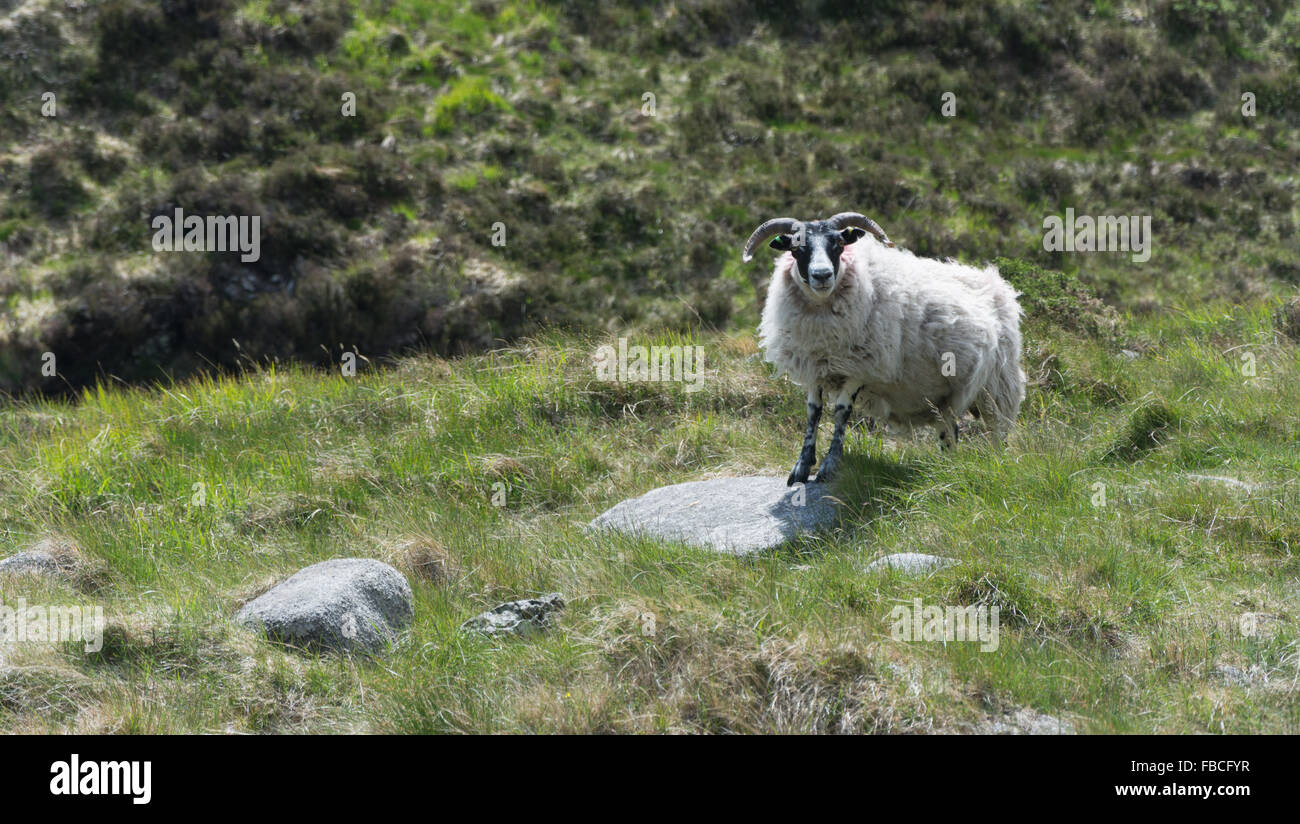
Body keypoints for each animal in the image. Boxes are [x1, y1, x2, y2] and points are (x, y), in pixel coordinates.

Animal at [743, 207, 1024, 483]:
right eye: (796, 248)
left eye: (839, 244)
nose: (822, 275)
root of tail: (997, 283)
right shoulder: (814, 366)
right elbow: (813, 412)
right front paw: (801, 466)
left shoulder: (862, 366)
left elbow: (841, 412)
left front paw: (830, 465)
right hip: (943, 398)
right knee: (949, 431)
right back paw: (947, 469)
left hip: (997, 386)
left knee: (998, 431)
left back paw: (997, 465)